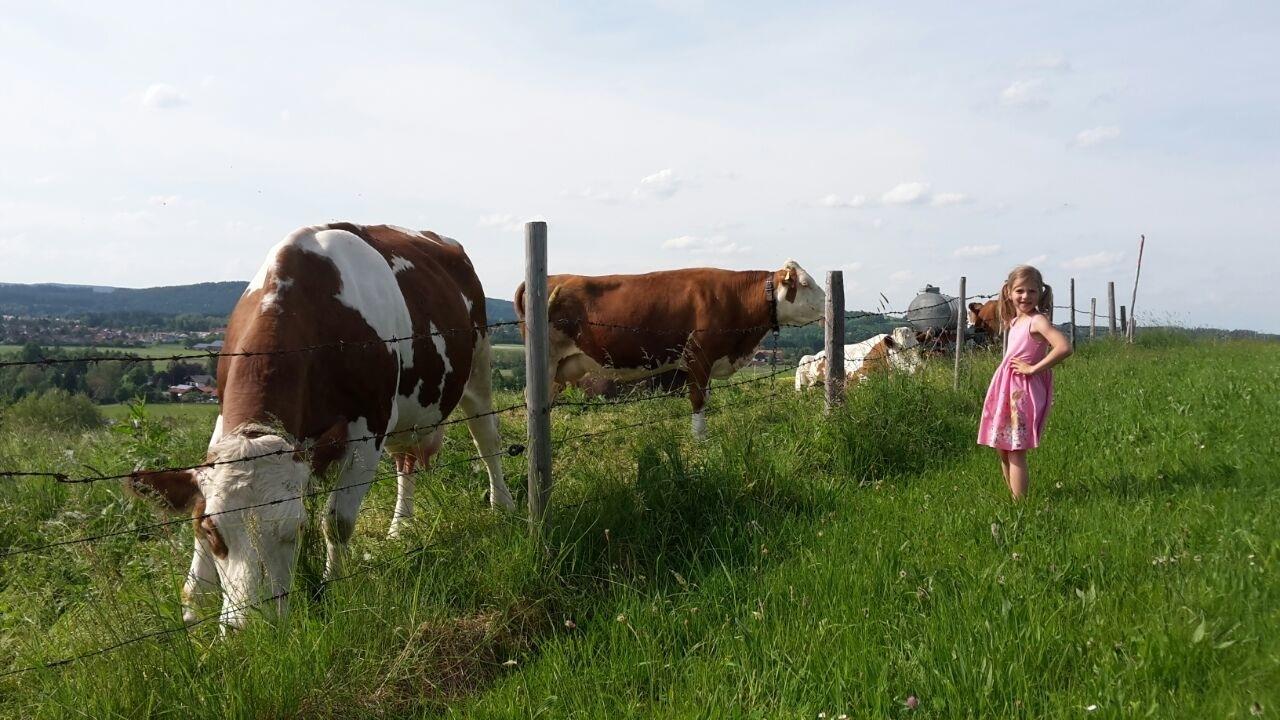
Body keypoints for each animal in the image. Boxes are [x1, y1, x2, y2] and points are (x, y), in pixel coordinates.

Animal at [127, 223, 513, 629]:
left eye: (296, 529)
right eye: (213, 531)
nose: (252, 630)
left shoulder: (368, 430)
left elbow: (336, 522)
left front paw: (332, 588)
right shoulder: (222, 427)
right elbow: (196, 511)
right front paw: (193, 607)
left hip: (479, 366)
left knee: (487, 440)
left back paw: (501, 505)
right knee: (405, 462)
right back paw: (400, 527)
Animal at [515, 261, 825, 438]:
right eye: (805, 283)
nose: (828, 304)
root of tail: (552, 277)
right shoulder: (699, 356)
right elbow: (698, 400)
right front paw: (700, 441)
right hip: (546, 362)